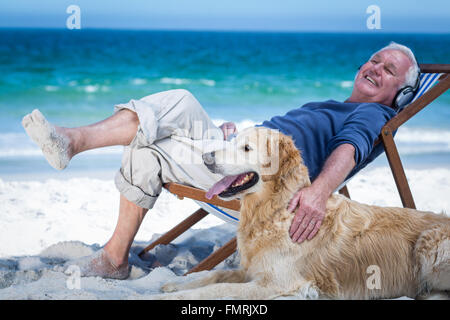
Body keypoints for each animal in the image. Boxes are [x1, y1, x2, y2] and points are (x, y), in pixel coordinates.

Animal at [158, 126, 450, 298]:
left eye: (246, 148)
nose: (205, 157)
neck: (274, 210)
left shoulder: (275, 283)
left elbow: (218, 288)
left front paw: (177, 296)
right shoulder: (253, 271)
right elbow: (214, 275)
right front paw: (176, 284)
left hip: (430, 247)